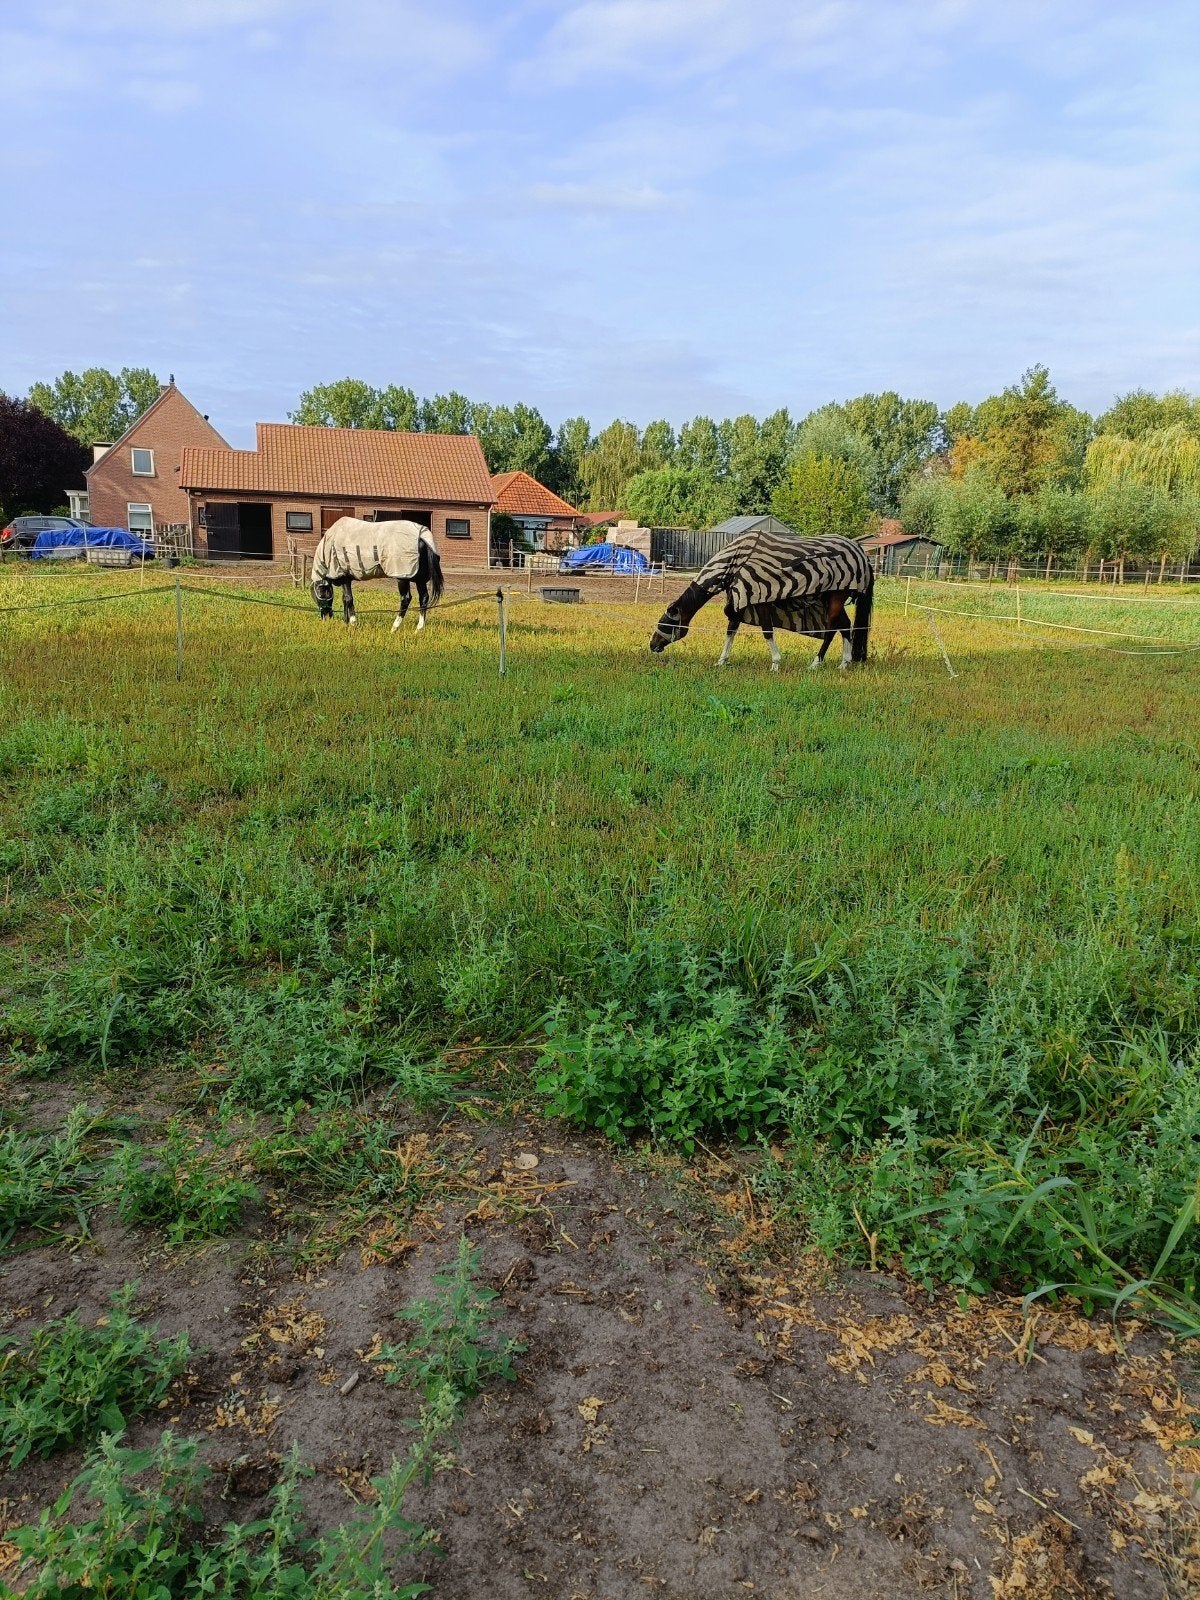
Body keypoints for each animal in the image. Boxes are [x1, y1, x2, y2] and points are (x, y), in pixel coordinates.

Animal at [310, 516, 444, 629]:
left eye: (320, 591)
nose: (326, 616)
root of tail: (421, 537)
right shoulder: (346, 579)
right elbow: (344, 599)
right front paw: (345, 622)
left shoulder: (344, 577)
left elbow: (348, 599)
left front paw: (352, 622)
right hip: (419, 578)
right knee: (424, 598)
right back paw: (419, 628)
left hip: (402, 577)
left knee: (406, 598)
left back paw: (394, 627)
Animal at [649, 530, 874, 672]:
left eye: (665, 623)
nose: (652, 645)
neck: (732, 564)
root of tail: (859, 550)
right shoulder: (739, 601)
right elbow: (731, 630)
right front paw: (721, 661)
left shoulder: (759, 598)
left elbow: (767, 631)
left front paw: (775, 663)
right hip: (830, 597)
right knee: (845, 625)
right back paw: (844, 663)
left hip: (836, 596)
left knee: (831, 628)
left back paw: (816, 663)